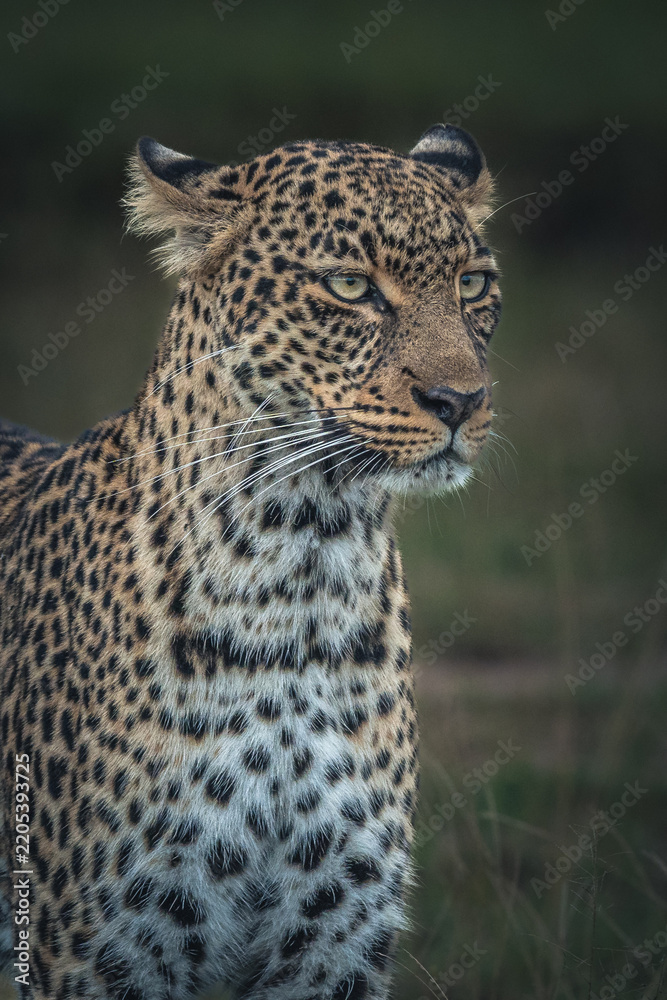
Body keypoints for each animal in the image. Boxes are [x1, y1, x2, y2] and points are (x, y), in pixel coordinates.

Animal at [0, 122, 501, 1000]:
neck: (304, 566)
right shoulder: (104, 952)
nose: (460, 400)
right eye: (349, 287)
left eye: (472, 283)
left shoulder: (333, 938)